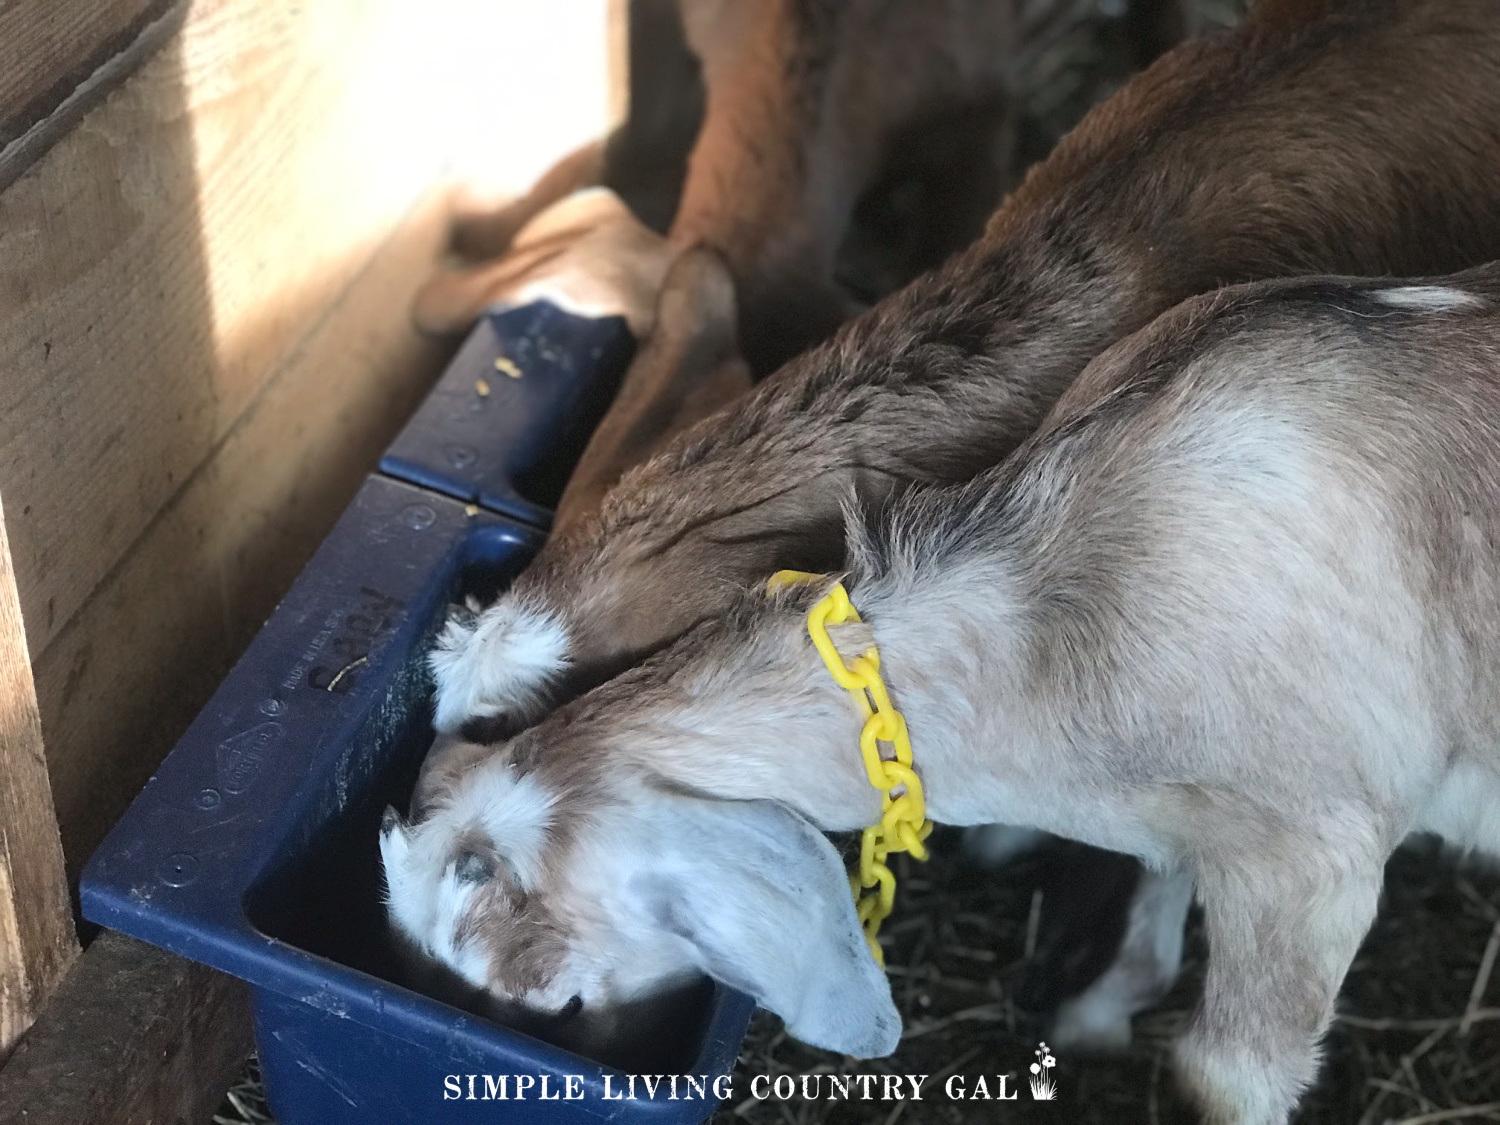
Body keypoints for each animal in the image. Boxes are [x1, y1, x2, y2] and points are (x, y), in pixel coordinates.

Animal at [387, 264, 1500, 1125]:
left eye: (554, 1004)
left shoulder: (1316, 862)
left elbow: (1223, 1076)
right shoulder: (1205, 814)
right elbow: (1154, 894)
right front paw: (1097, 1012)